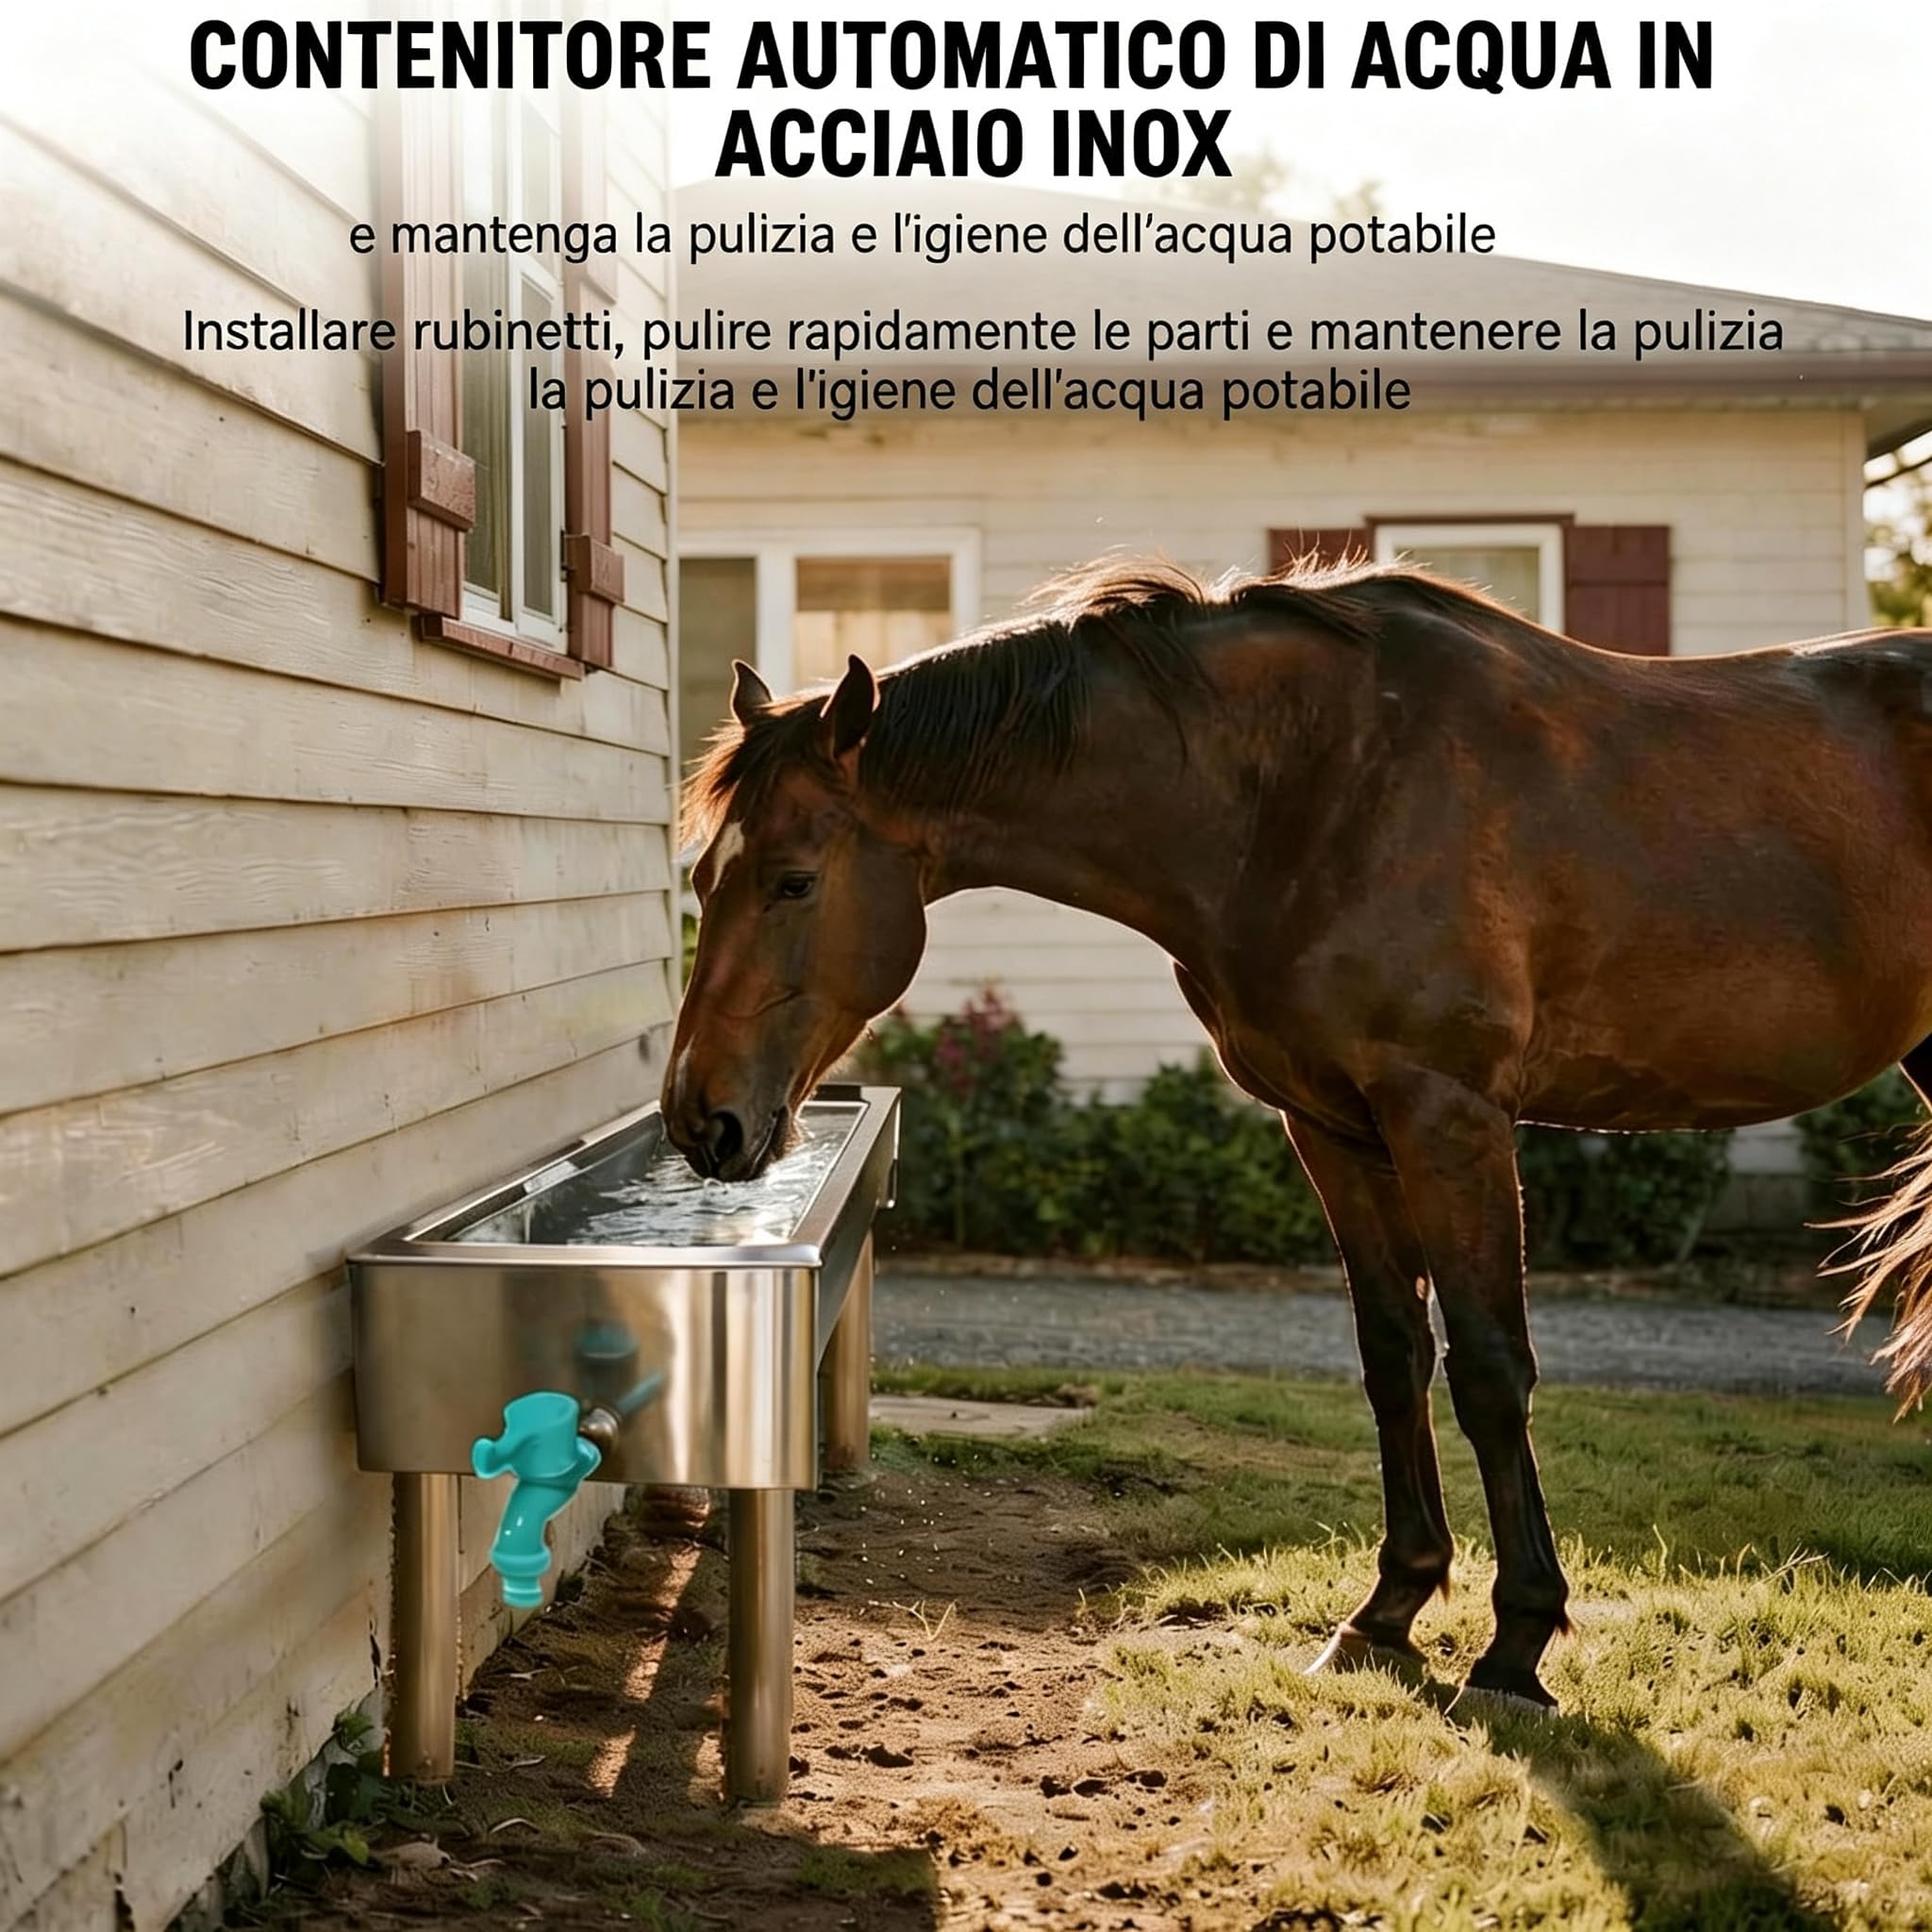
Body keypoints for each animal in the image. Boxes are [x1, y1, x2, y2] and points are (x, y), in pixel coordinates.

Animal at [662, 554, 1932, 1711]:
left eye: (791, 880)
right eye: (701, 879)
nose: (697, 1115)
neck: (1311, 788)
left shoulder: (1447, 1115)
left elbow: (1488, 1368)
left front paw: (1513, 1647)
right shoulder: (1331, 1123)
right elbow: (1391, 1354)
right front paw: (1387, 1610)